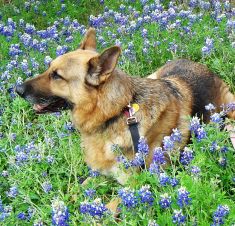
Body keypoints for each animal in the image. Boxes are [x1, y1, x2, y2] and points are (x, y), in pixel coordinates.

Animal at [16, 27, 235, 186]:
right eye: (48, 68)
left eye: (57, 76)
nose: (16, 89)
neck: (114, 114)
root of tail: (201, 66)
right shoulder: (97, 174)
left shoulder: (134, 184)